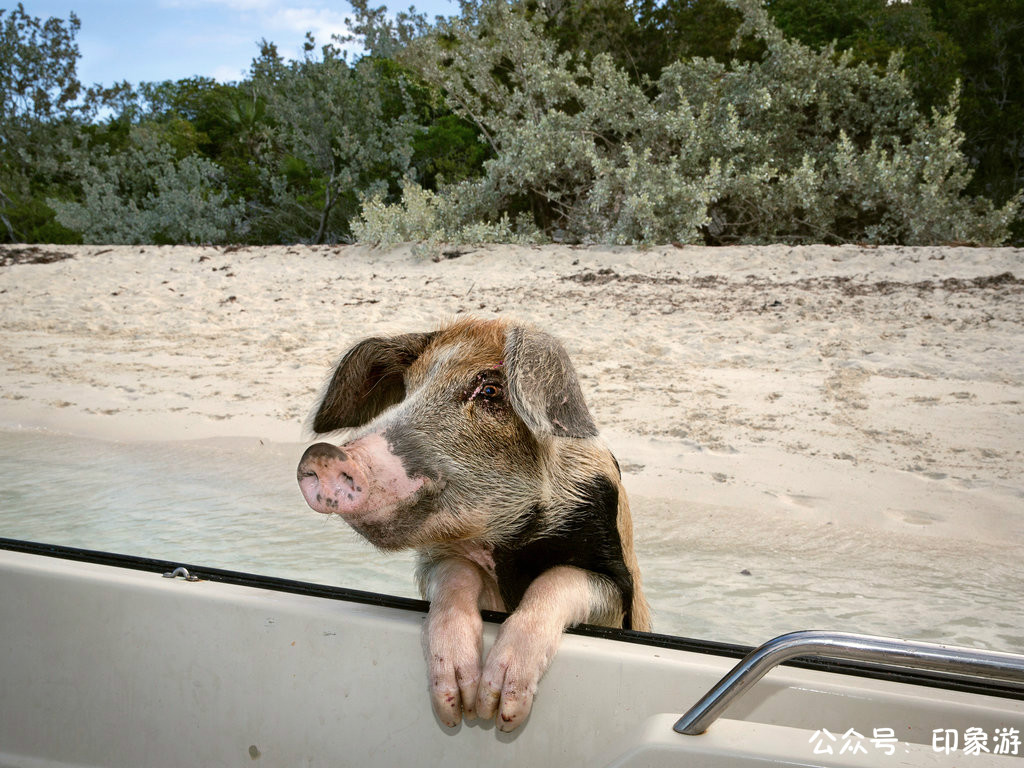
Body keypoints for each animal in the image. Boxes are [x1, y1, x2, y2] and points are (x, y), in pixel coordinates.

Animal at [299, 317, 647, 733]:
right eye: (408, 391)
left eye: (491, 390)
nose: (323, 454)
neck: (506, 545)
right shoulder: (437, 558)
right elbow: (456, 574)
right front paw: (461, 705)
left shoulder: (616, 582)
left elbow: (557, 579)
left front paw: (500, 710)